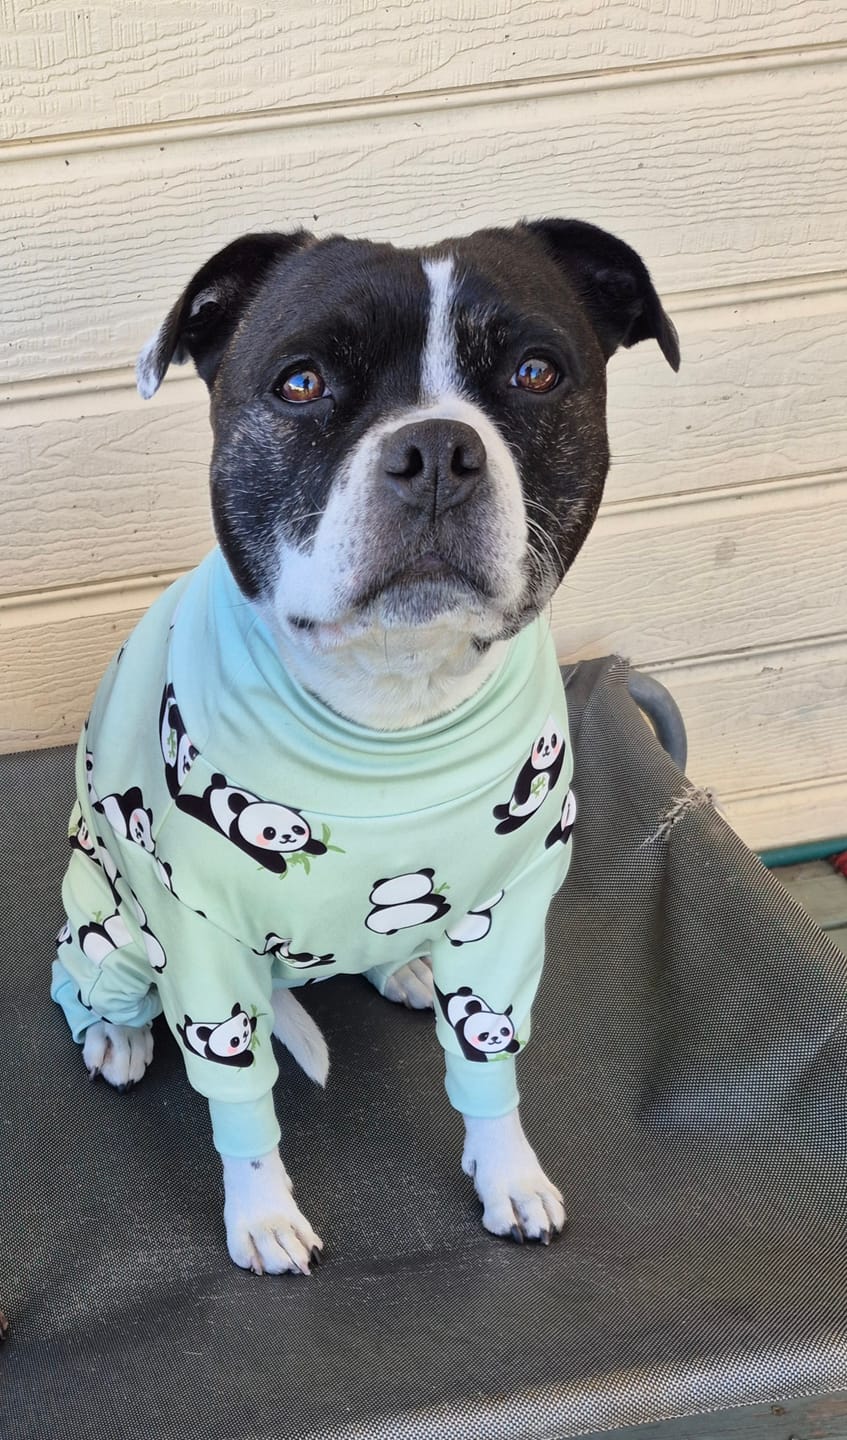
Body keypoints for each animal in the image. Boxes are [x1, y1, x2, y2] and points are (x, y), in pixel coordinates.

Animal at [176, 773, 326, 875]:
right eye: (270, 832)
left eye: (297, 829)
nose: (287, 837)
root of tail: (220, 787)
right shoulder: (240, 835)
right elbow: (261, 853)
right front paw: (278, 863)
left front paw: (317, 847)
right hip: (207, 805)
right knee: (200, 807)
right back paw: (185, 801)